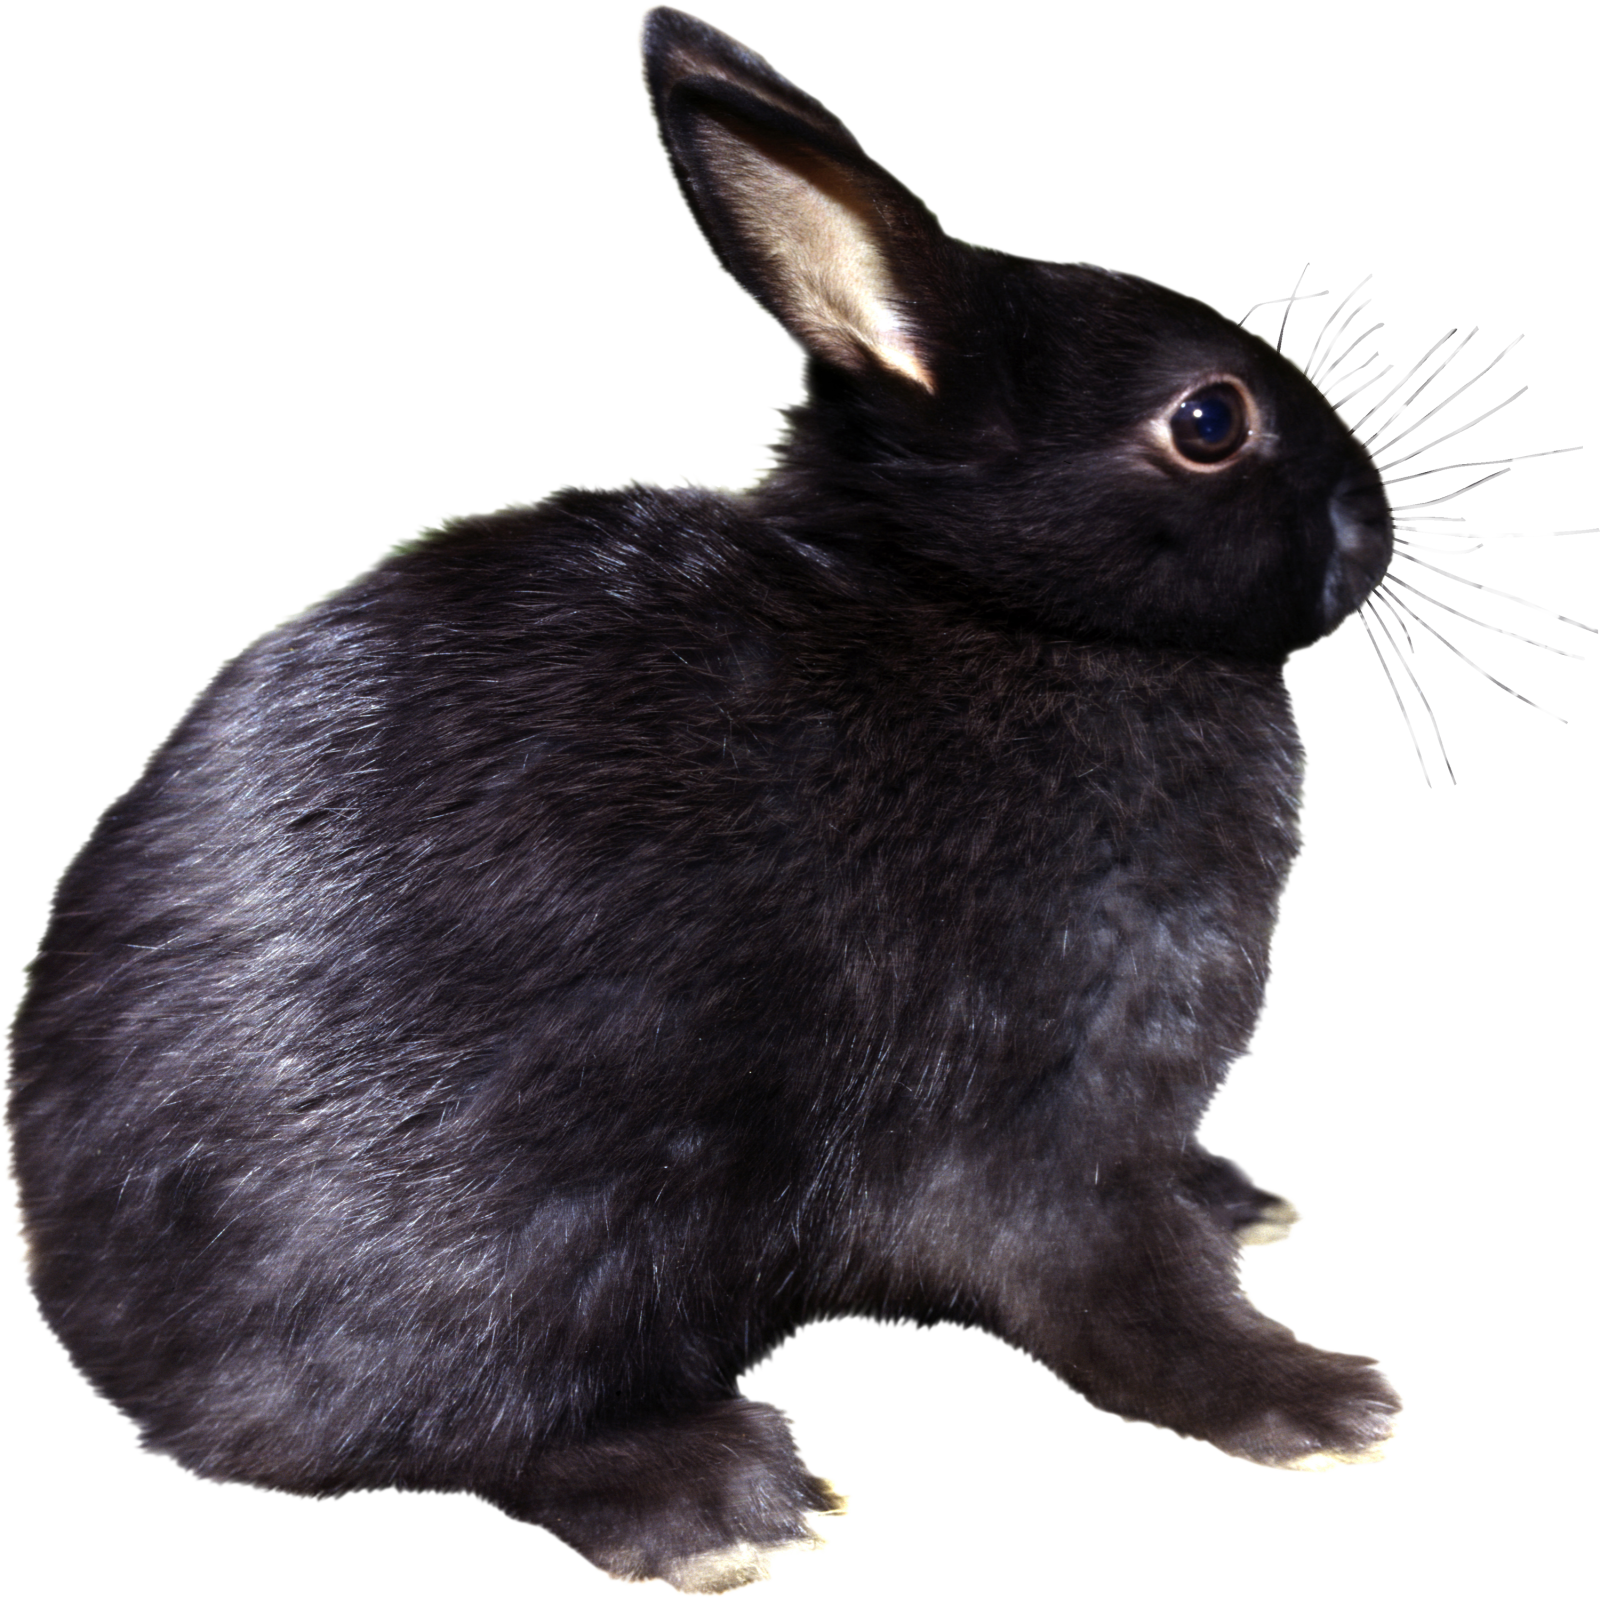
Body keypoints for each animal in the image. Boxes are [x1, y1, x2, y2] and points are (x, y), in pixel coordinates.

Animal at [5, 4, 1407, 1593]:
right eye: (1210, 419)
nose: (1372, 522)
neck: (1009, 617)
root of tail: (108, 1331)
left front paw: (1240, 1204)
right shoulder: (1047, 1113)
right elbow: (1115, 1291)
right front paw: (1317, 1403)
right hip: (543, 1248)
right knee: (454, 1423)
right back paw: (716, 1497)